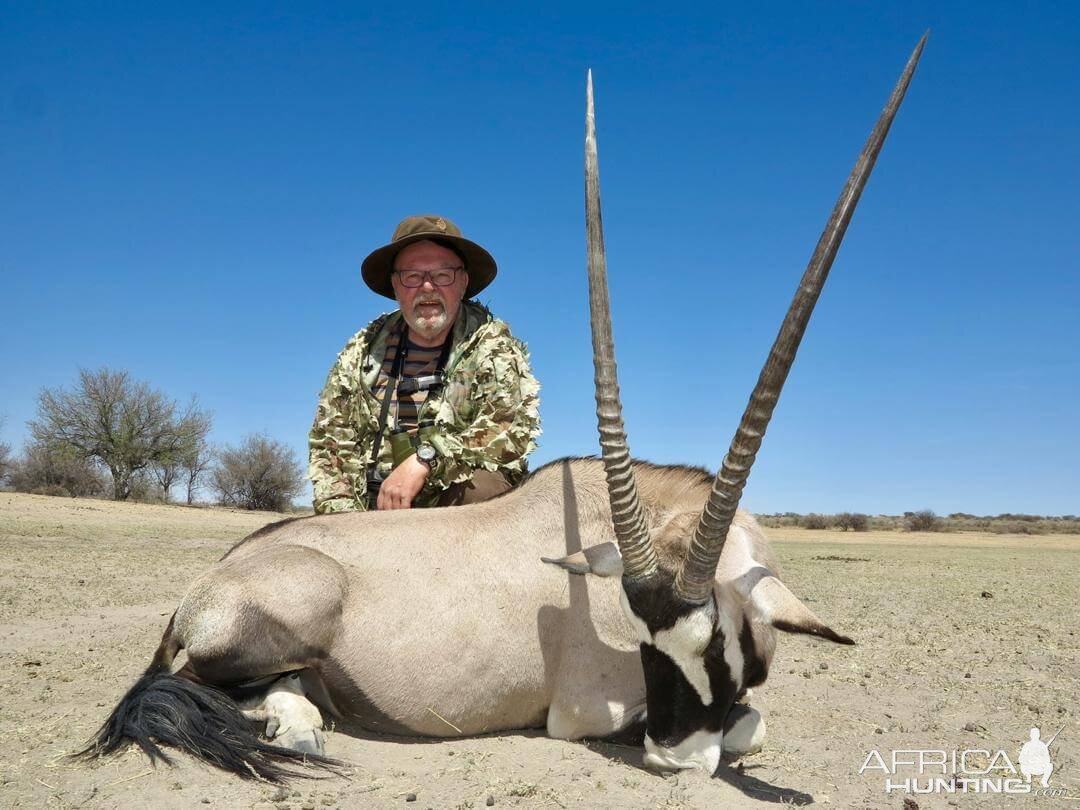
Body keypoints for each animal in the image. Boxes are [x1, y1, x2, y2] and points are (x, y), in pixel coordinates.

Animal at [79, 34, 924, 781]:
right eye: (648, 646)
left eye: (718, 644)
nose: (674, 759)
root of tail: (207, 586)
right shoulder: (585, 712)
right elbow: (751, 724)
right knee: (207, 686)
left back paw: (306, 727)